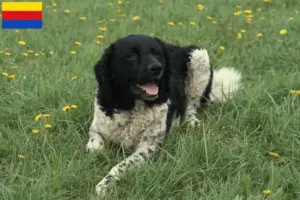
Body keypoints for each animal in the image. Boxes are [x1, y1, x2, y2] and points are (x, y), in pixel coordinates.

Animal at [85, 34, 241, 197]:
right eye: (131, 56)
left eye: (157, 54)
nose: (157, 67)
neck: (132, 108)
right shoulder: (97, 128)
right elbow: (94, 145)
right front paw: (98, 155)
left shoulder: (148, 146)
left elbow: (121, 165)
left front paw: (105, 184)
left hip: (199, 57)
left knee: (191, 105)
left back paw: (191, 121)